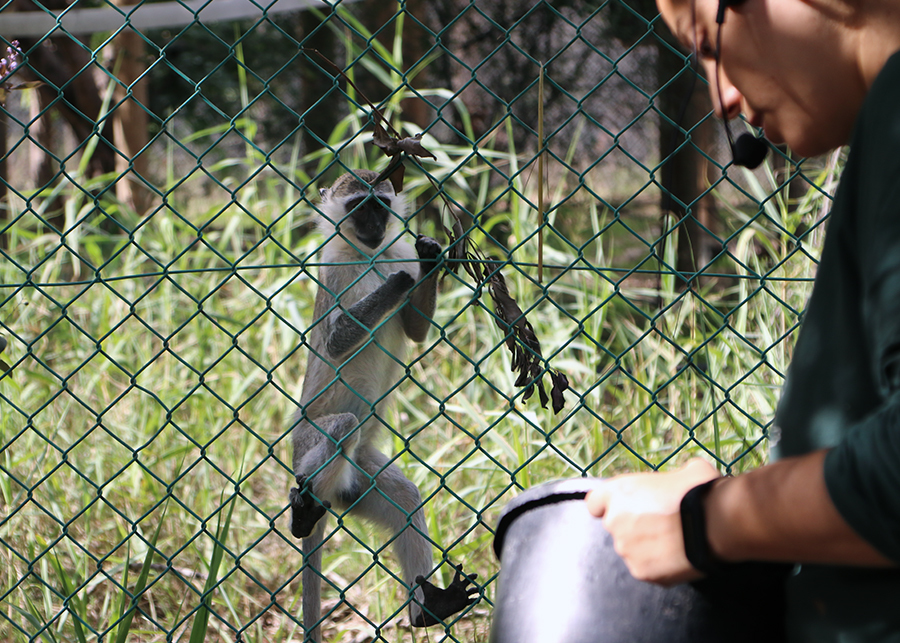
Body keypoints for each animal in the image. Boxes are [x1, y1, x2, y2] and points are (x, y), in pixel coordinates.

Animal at [292, 169, 482, 640]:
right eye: (358, 208)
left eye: (379, 205)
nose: (375, 226)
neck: (368, 254)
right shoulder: (334, 269)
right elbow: (336, 340)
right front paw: (397, 282)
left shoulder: (396, 251)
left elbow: (414, 330)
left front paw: (430, 258)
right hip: (305, 443)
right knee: (341, 426)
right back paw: (302, 513)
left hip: (358, 482)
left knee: (405, 498)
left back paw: (430, 608)